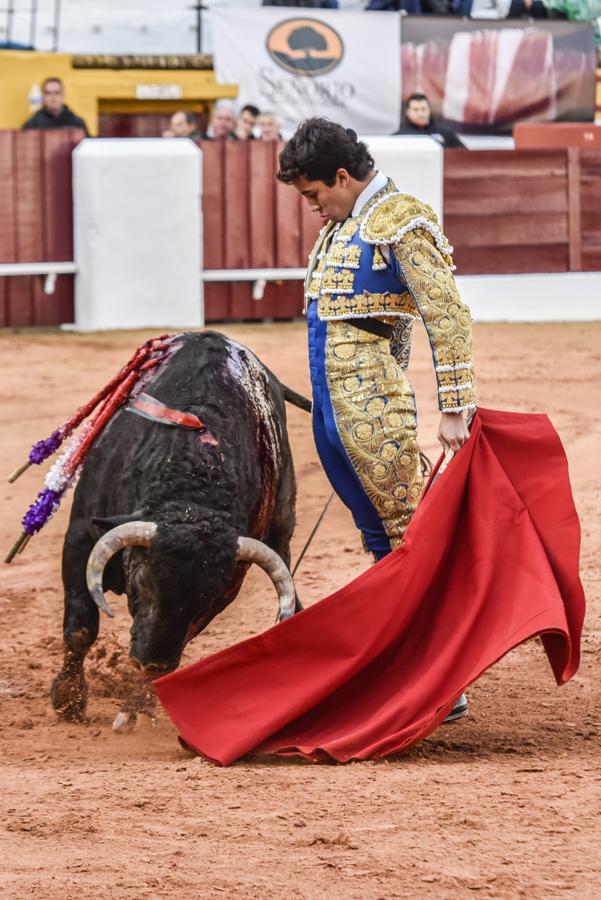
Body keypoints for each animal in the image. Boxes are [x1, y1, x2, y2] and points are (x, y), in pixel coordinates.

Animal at [50, 332, 310, 732]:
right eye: (143, 581)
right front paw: (68, 700)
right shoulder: (81, 534)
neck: (194, 492)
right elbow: (80, 627)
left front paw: (136, 705)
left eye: (211, 596)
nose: (152, 660)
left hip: (282, 524)